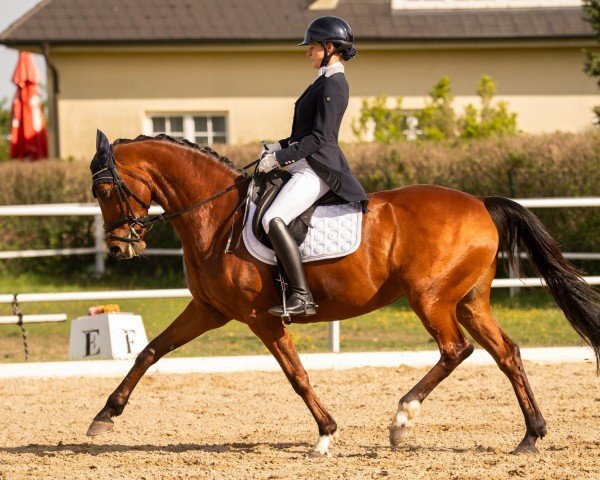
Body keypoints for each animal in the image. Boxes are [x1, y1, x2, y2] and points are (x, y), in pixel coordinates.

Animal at [86, 132, 600, 458]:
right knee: (506, 353)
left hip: (431, 299)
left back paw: (402, 420)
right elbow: (150, 351)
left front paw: (325, 435)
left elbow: (296, 375)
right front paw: (105, 415)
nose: (119, 246)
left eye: (106, 189)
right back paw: (531, 436)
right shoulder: (209, 310)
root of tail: (480, 204)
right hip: (469, 301)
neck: (216, 215)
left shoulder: (261, 317)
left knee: (456, 350)